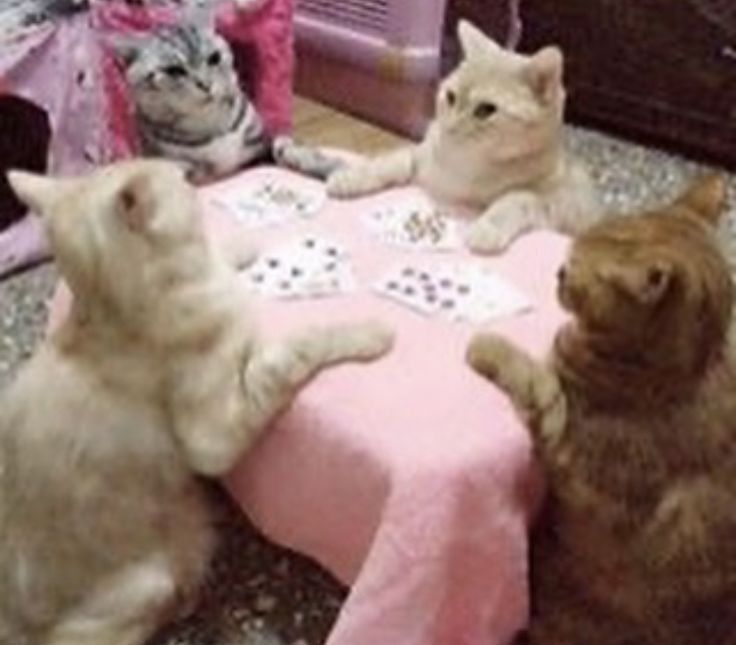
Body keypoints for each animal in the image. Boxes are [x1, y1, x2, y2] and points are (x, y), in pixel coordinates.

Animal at [1, 157, 392, 644]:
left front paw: (244, 245)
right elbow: (294, 351)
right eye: (184, 181)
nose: (190, 173)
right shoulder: (212, 437)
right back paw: (187, 597)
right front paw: (370, 332)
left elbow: (226, 258)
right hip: (151, 580)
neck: (107, 314)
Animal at [330, 20, 604, 252]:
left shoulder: (563, 205)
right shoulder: (422, 155)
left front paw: (488, 227)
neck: (466, 164)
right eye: (451, 97)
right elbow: (392, 160)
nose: (450, 127)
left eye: (486, 110)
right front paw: (352, 176)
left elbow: (517, 198)